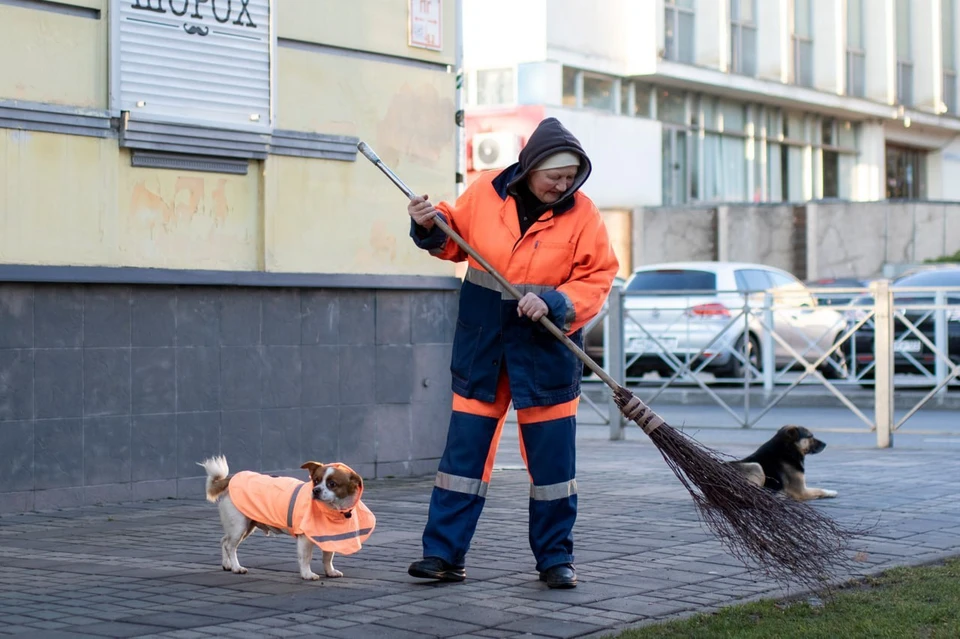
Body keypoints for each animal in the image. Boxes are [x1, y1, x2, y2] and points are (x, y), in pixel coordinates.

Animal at [197, 456, 374, 580]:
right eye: (315, 481)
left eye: (332, 484)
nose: (315, 490)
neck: (332, 510)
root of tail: (230, 479)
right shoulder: (305, 538)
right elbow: (306, 557)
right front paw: (307, 574)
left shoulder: (329, 537)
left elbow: (328, 557)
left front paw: (330, 571)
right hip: (240, 526)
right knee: (230, 546)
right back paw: (236, 567)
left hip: (244, 526)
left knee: (223, 541)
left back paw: (226, 564)